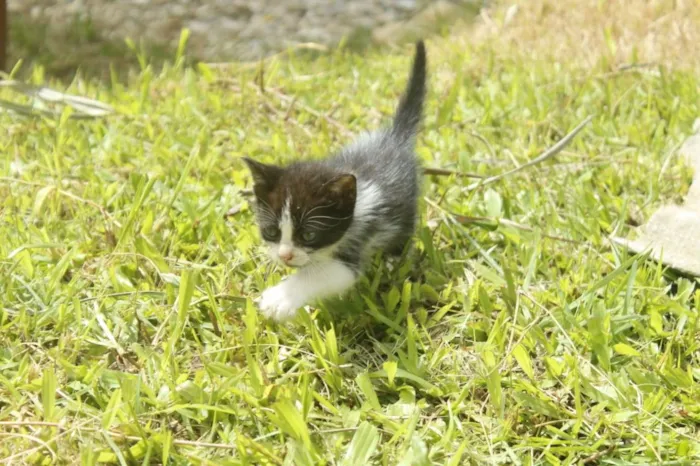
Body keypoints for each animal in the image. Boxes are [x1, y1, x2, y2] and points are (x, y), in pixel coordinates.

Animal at [241, 40, 426, 320]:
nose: (285, 256)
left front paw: (280, 299)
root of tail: (393, 136)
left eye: (309, 235)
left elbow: (327, 273)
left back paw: (394, 259)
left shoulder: (357, 240)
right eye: (272, 231)